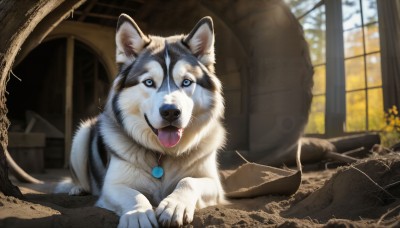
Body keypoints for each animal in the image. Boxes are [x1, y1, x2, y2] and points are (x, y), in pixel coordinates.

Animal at [67, 14, 227, 228]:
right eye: (149, 82)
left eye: (186, 82)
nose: (171, 112)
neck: (163, 153)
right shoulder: (112, 186)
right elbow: (134, 195)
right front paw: (138, 214)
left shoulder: (213, 183)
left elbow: (188, 181)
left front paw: (175, 205)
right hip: (82, 135)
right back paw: (77, 188)